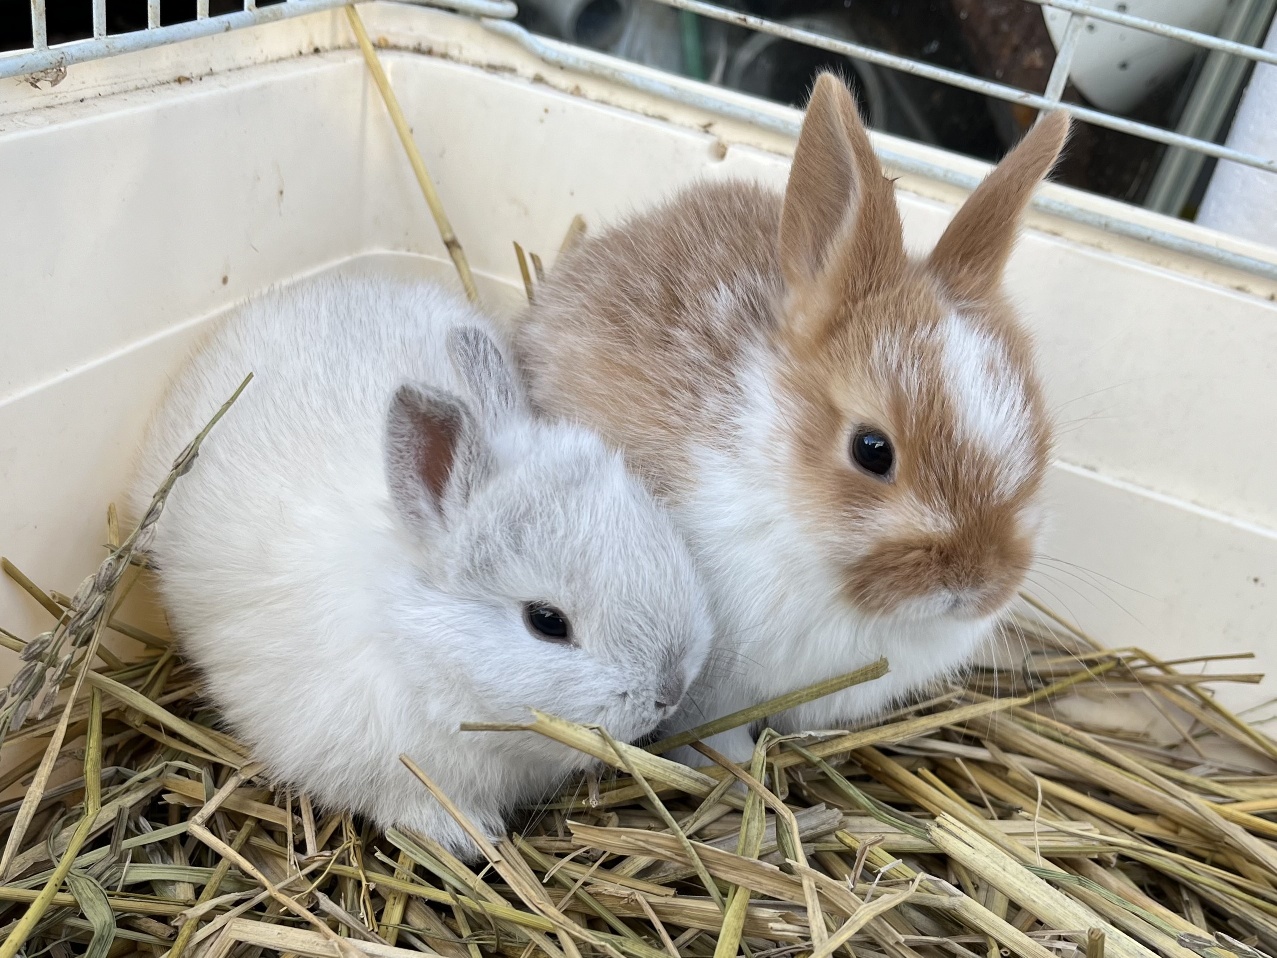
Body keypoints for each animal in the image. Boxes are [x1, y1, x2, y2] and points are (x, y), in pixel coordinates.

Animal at [515, 73, 1067, 766]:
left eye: (1040, 442)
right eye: (871, 450)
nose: (976, 585)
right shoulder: (720, 685)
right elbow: (719, 736)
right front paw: (733, 770)